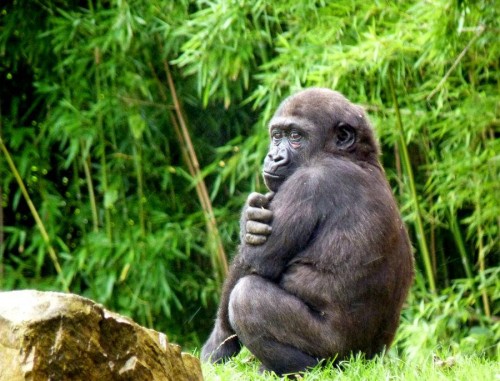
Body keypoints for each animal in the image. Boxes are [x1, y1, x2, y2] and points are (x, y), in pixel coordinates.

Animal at [199, 87, 414, 374]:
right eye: (276, 136)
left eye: (295, 136)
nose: (274, 156)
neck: (355, 156)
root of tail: (372, 360)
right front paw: (250, 218)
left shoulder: (309, 182)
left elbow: (254, 264)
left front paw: (217, 346)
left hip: (342, 355)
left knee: (246, 298)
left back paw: (303, 370)